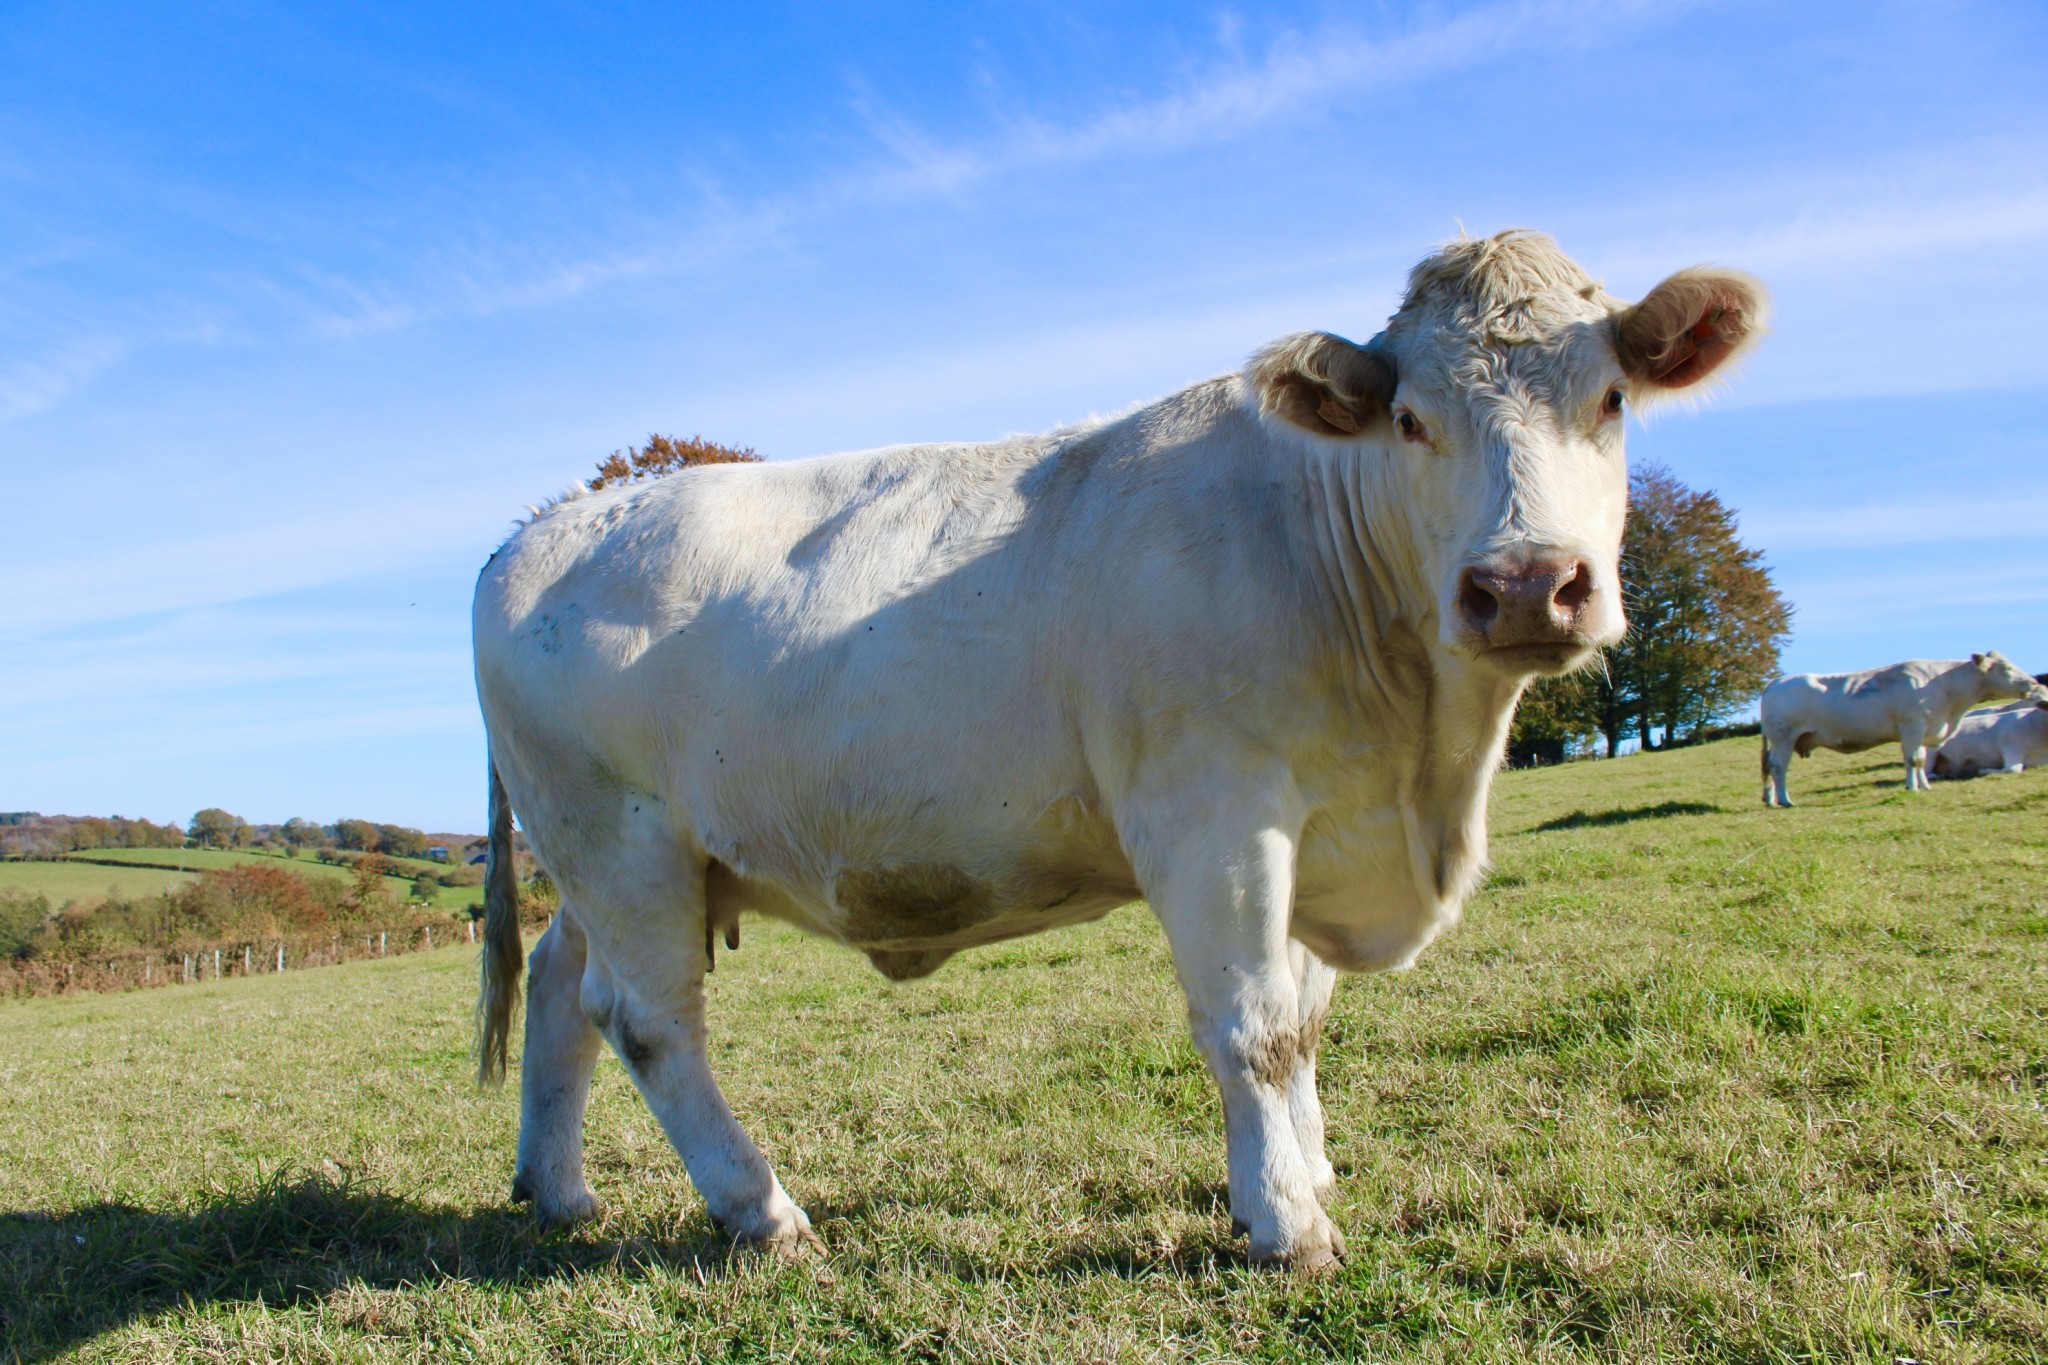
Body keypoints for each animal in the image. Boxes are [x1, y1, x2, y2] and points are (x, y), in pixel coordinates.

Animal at [471, 227, 1769, 1268]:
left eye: (1609, 400)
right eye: (1409, 420)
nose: (1526, 586)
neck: (1418, 773)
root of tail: (531, 534)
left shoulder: (1320, 827)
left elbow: (1303, 1022)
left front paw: (1302, 1175)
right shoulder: (1215, 818)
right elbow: (1252, 1028)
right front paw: (1286, 1227)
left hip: (609, 861)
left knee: (562, 985)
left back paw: (558, 1189)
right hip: (616, 840)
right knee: (650, 1022)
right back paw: (762, 1213)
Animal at [1761, 654, 2048, 806]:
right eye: (2007, 668)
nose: (2033, 681)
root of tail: (1777, 681)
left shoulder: (1923, 730)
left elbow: (1920, 759)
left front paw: (1925, 786)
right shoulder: (1913, 725)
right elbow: (1912, 759)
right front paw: (1912, 787)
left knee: (1771, 768)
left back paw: (1771, 799)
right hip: (1783, 738)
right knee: (1779, 767)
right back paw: (1785, 800)